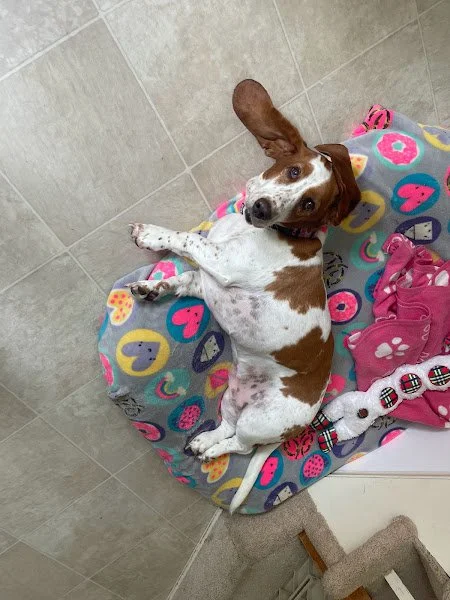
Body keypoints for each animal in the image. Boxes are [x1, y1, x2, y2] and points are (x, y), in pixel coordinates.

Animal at [127, 80, 360, 512]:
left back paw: (212, 452)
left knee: (239, 445)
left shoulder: (222, 264)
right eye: (292, 170)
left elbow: (186, 239)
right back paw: (203, 441)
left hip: (259, 421)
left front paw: (151, 234)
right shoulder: (206, 281)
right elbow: (181, 278)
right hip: (232, 401)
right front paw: (152, 288)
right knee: (226, 428)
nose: (263, 207)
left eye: (308, 204)